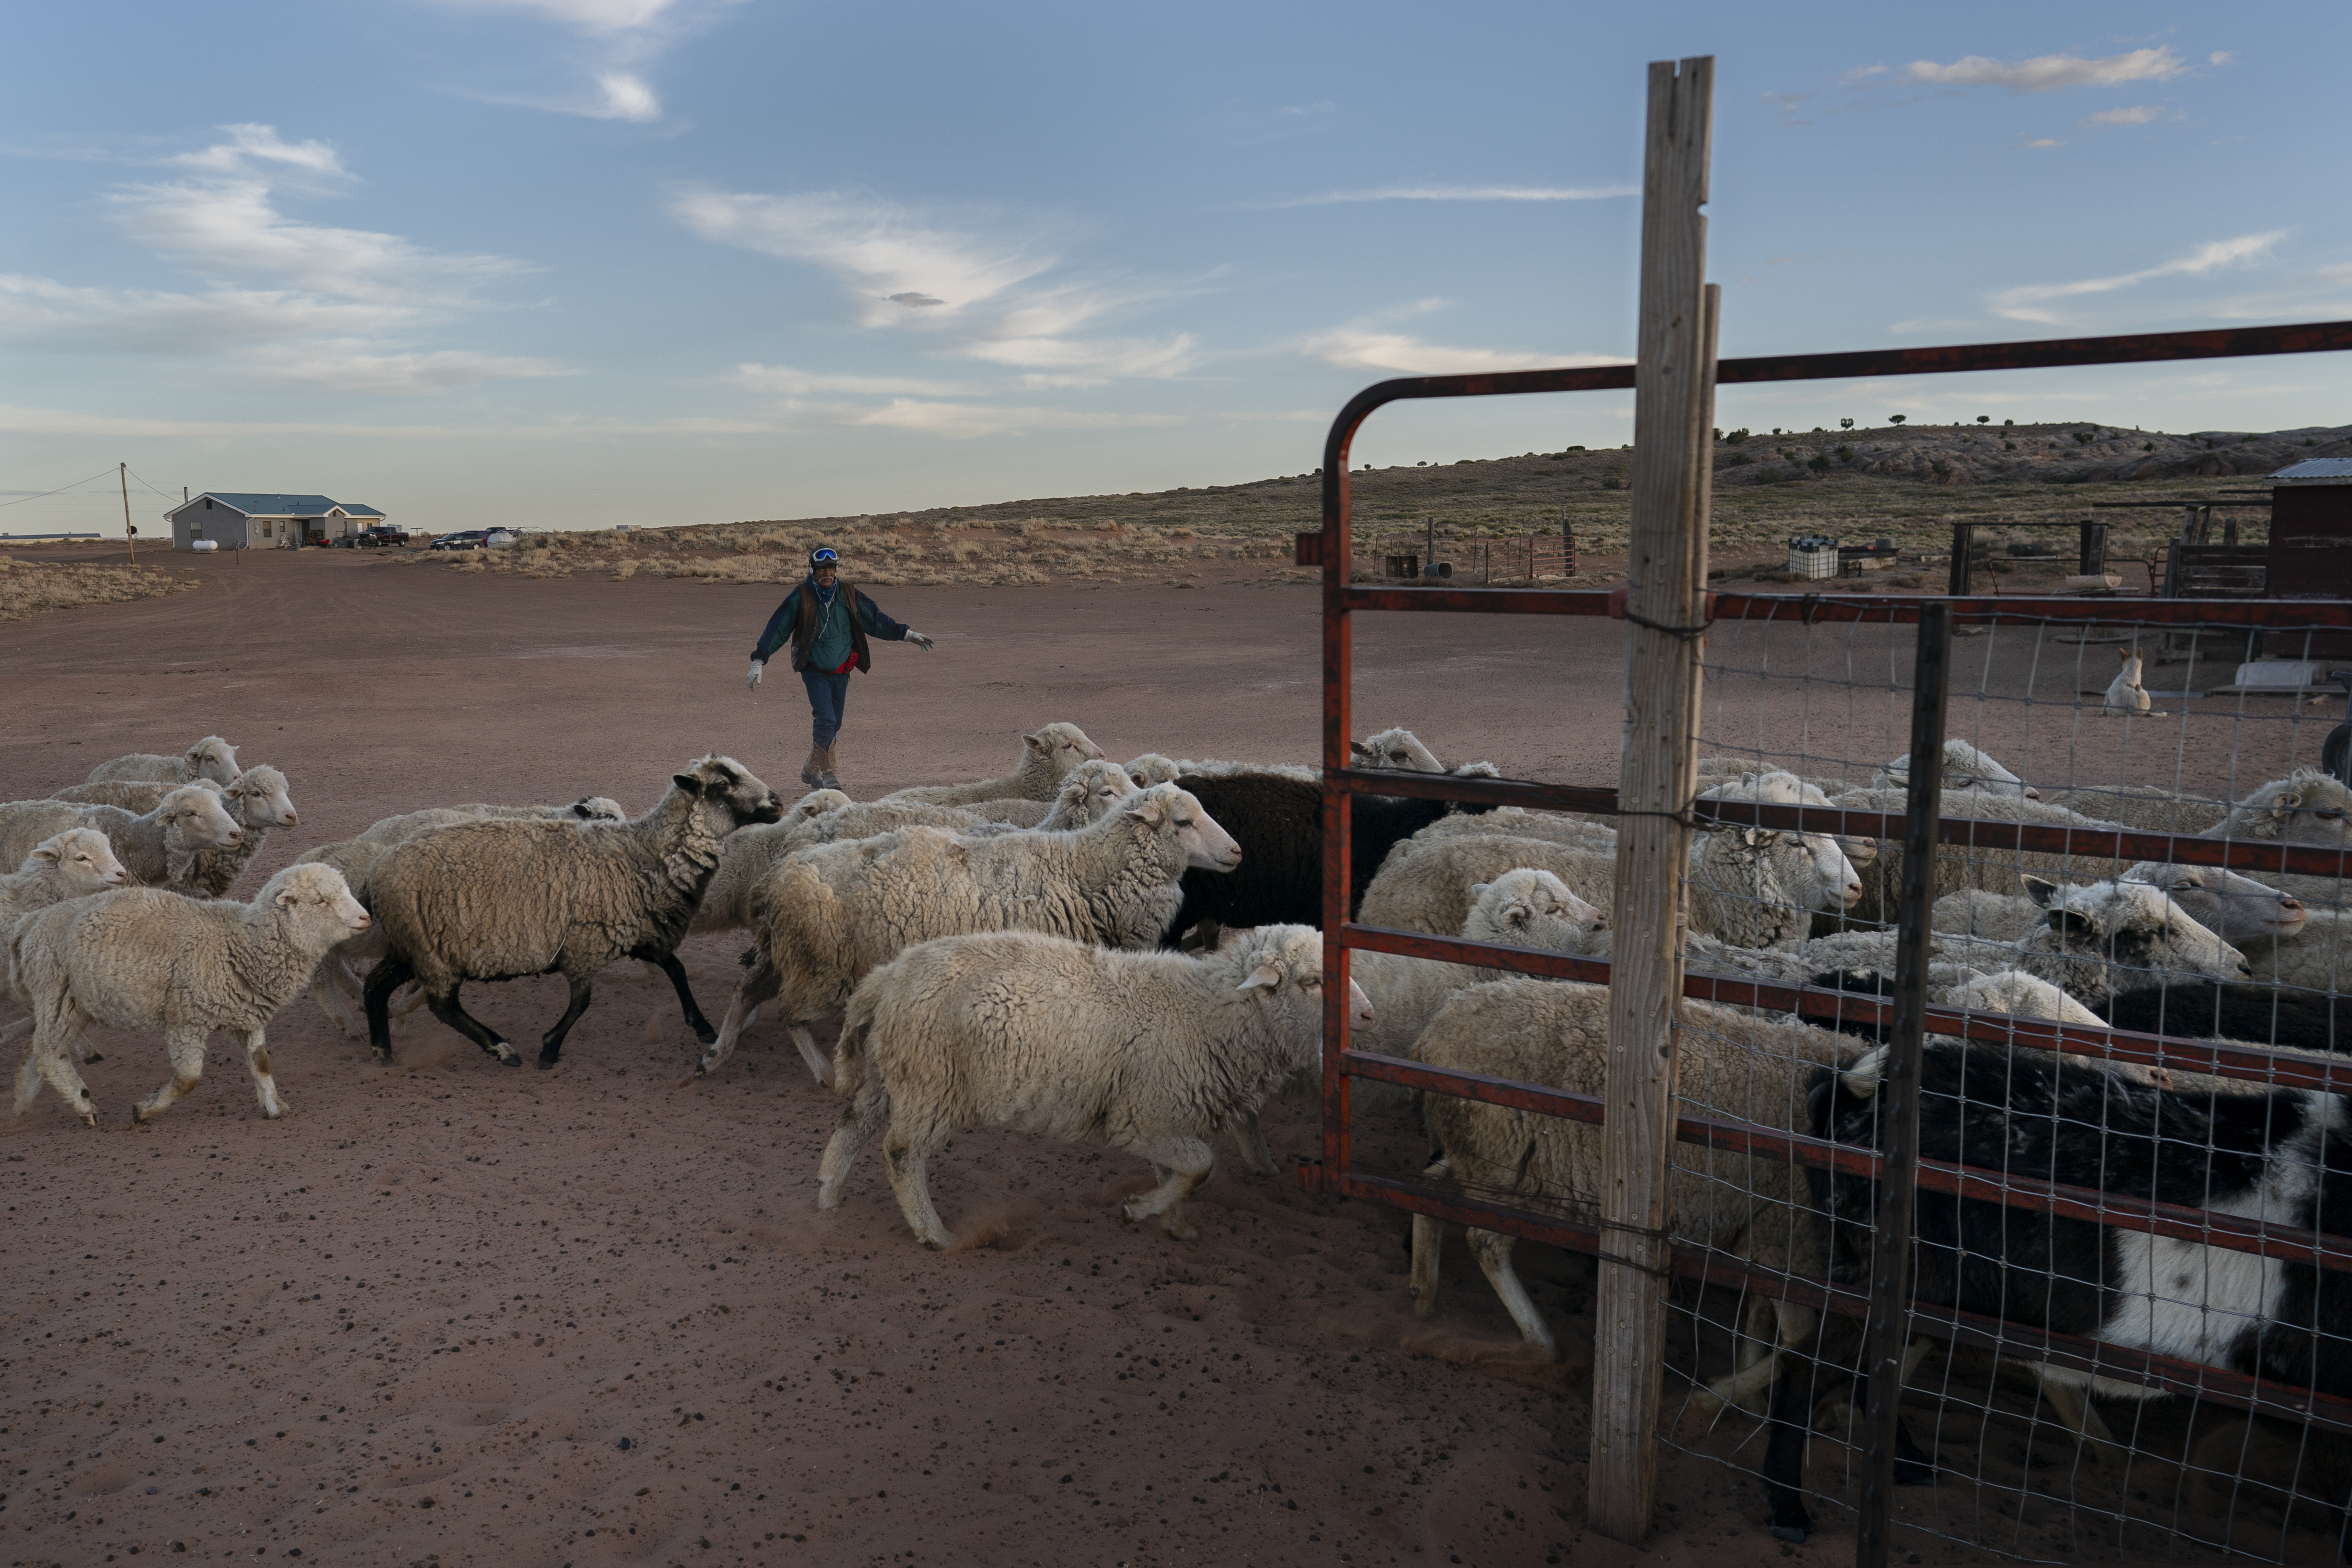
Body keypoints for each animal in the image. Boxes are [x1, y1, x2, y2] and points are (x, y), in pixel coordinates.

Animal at [11, 862, 369, 1126]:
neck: (240, 944)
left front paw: (274, 1107)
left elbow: (262, 1063)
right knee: (48, 1053)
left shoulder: (248, 1015)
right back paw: (82, 1104)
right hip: (57, 993)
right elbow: (188, 1079)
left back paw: (22, 1103)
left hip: (68, 1003)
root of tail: (33, 922)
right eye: (320, 901)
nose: (366, 917)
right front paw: (144, 1111)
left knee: (38, 1051)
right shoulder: (186, 1021)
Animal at [360, 757, 784, 1069]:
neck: (641, 853)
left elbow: (677, 970)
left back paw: (382, 1050)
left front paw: (703, 1027)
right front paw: (549, 1049)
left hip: (414, 946)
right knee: (443, 1006)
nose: (778, 802)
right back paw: (502, 1049)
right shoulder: (585, 945)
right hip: (431, 954)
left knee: (375, 986)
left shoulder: (641, 931)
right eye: (723, 783)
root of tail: (378, 869)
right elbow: (582, 1002)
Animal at [698, 783, 1242, 1083]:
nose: (1237, 852)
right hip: (821, 965)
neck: (1084, 867)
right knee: (791, 1015)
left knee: (747, 990)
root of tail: (777, 874)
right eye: (1183, 821)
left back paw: (717, 1053)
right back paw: (825, 1074)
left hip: (789, 952)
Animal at [818, 923, 1371, 1247]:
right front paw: (1141, 1210)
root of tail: (888, 975)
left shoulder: (1165, 1115)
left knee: (851, 1127)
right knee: (900, 1152)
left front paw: (1173, 1222)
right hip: (930, 1081)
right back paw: (933, 1232)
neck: (1208, 1014)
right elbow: (1201, 1166)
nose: (1367, 1016)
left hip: (889, 1072)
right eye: (1312, 982)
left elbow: (1182, 1173)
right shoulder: (1139, 1118)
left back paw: (829, 1195)